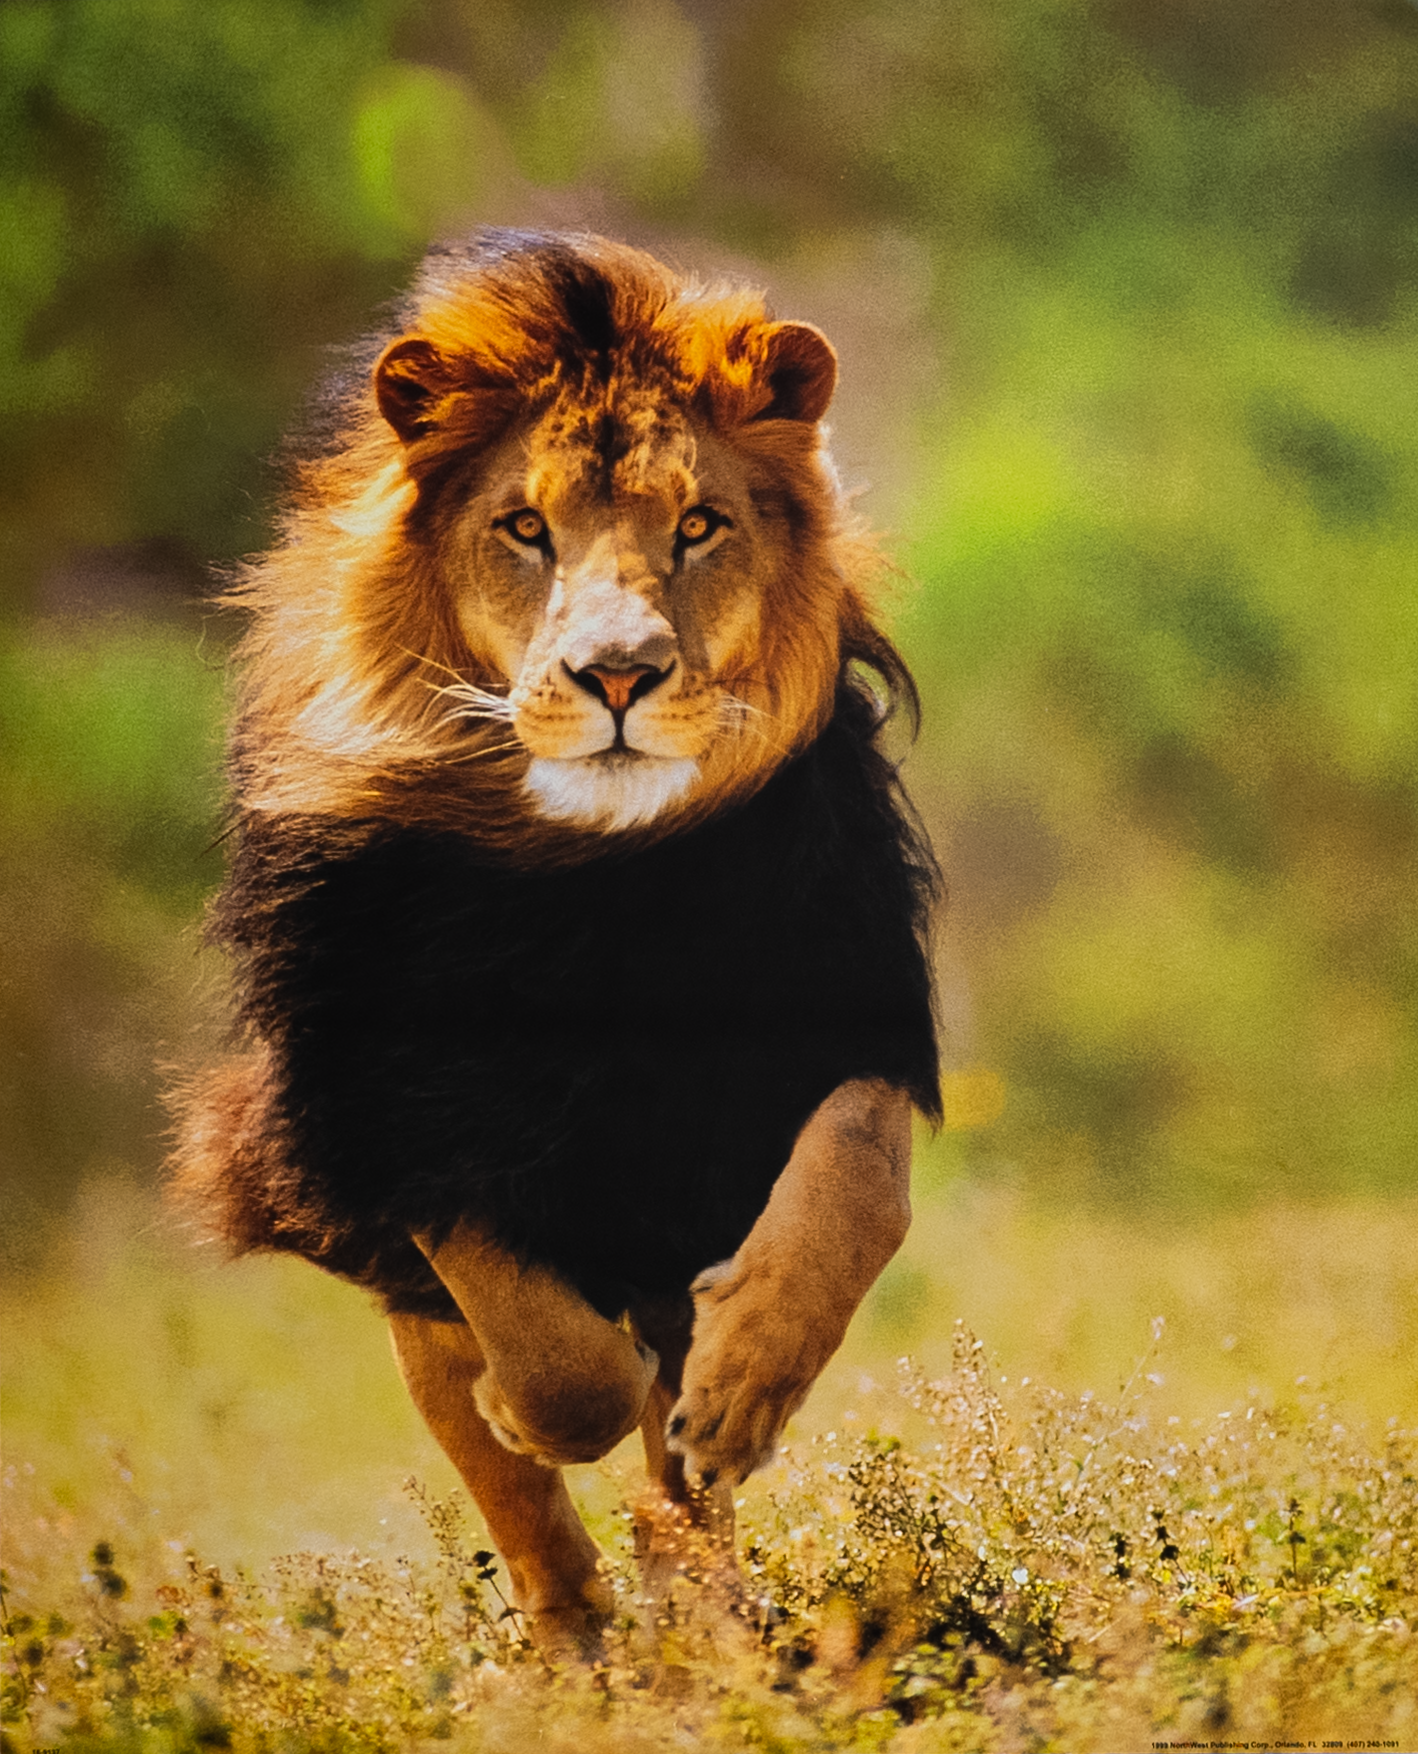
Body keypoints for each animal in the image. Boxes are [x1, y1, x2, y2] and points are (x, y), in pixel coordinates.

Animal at [173, 230, 940, 1656]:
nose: (618, 674)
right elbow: (547, 1365)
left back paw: (705, 1614)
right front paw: (547, 1404)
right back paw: (580, 1636)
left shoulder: (840, 1007)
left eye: (698, 525)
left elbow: (857, 1186)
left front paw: (743, 1385)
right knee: (505, 1470)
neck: (600, 877)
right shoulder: (394, 1106)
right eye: (524, 529)